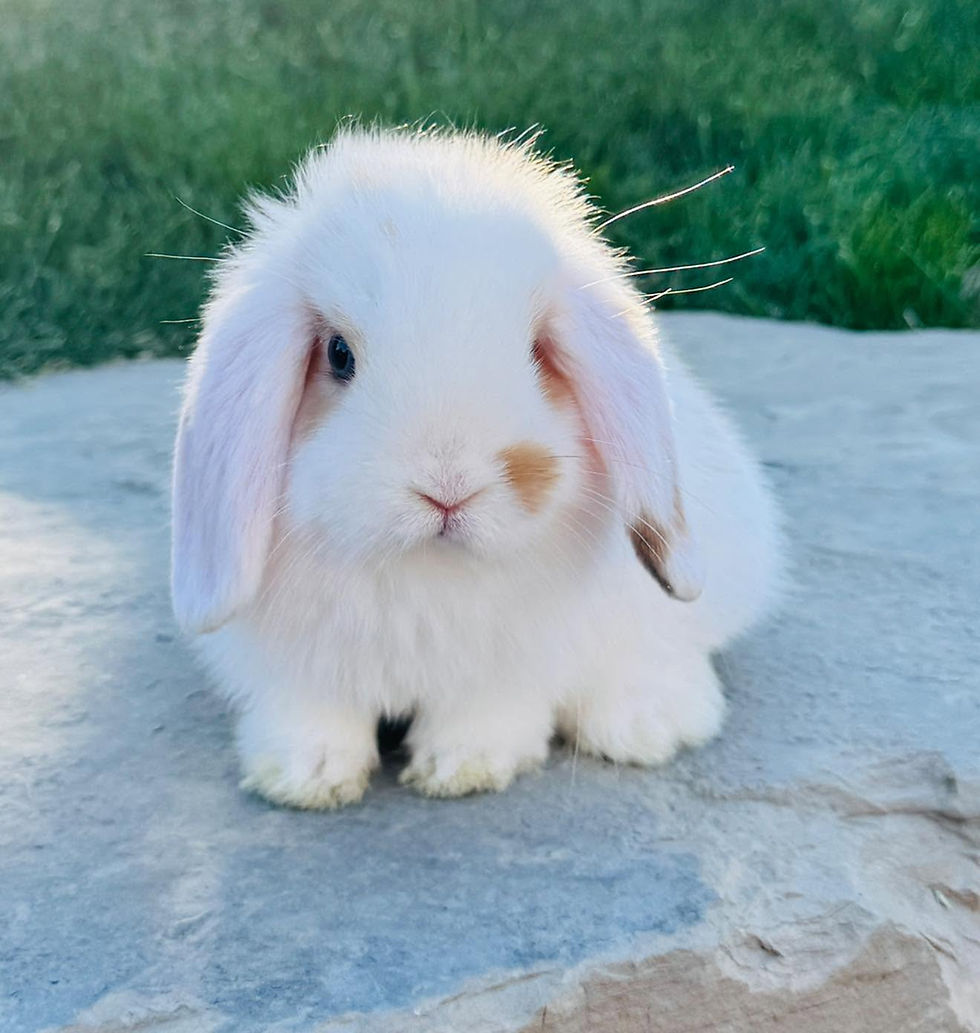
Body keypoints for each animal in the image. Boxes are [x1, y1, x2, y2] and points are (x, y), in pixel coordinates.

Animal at [171, 126, 783, 809]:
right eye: (338, 354)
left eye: (538, 352)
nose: (447, 489)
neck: (427, 572)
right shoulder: (296, 669)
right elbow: (312, 715)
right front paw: (306, 778)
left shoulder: (509, 667)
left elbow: (486, 713)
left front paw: (460, 768)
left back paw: (648, 724)